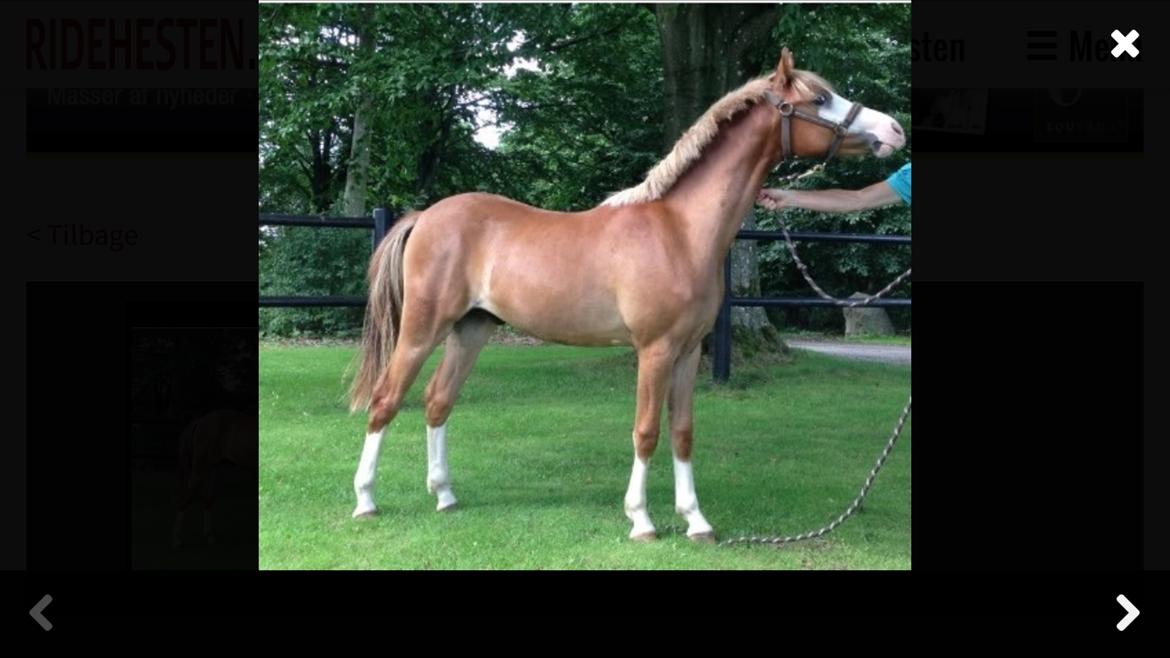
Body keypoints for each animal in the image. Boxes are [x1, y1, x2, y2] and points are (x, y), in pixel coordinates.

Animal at [172, 409, 258, 546]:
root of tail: (200, 421)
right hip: (199, 470)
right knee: (186, 498)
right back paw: (177, 538)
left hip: (211, 469)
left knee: (207, 499)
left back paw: (209, 536)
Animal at [347, 48, 905, 542]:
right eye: (820, 98)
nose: (894, 130)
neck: (680, 230)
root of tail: (426, 216)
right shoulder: (654, 351)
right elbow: (646, 430)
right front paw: (641, 520)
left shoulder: (687, 352)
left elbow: (682, 432)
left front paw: (696, 521)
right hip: (422, 329)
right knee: (385, 400)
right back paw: (366, 501)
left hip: (471, 329)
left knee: (438, 402)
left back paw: (445, 496)